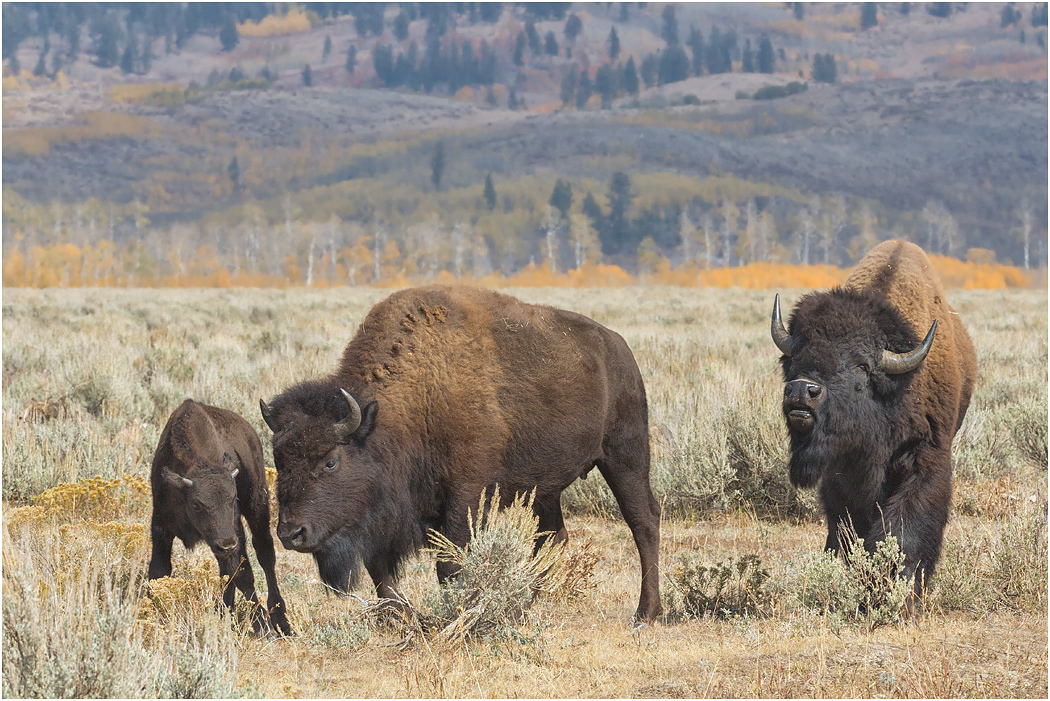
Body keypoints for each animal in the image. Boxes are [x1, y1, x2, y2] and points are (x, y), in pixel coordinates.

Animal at [148, 399, 292, 636]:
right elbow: (159, 572)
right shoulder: (161, 528)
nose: (227, 544)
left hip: (257, 504)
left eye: (232, 498)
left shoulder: (234, 531)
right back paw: (226, 612)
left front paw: (263, 627)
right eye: (196, 504)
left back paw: (281, 620)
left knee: (265, 555)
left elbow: (242, 573)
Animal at [260, 285, 662, 622]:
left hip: (625, 456)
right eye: (279, 460)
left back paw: (646, 613)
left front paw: (458, 616)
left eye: (330, 461)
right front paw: (401, 618)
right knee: (552, 538)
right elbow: (381, 571)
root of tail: (618, 348)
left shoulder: (466, 495)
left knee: (643, 522)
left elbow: (449, 565)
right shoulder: (384, 515)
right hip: (544, 489)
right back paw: (523, 603)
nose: (290, 534)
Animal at [771, 240, 976, 596]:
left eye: (862, 365)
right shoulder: (838, 477)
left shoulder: (927, 460)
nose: (801, 391)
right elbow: (847, 527)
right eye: (796, 355)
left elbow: (904, 530)